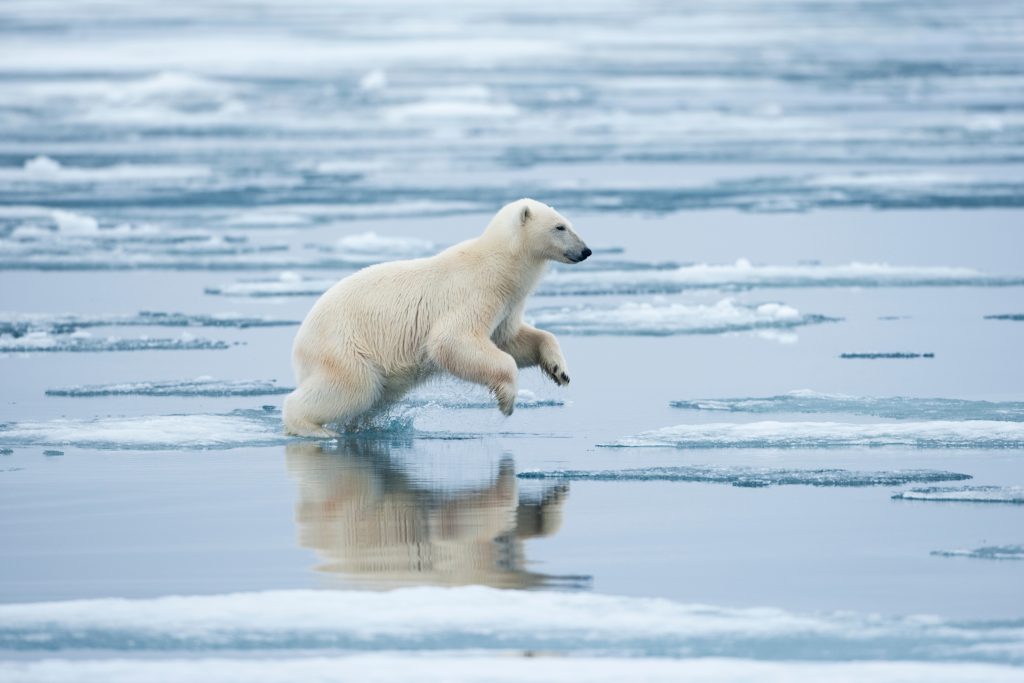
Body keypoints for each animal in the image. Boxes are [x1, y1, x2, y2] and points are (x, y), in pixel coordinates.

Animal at [284, 197, 589, 438]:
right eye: (560, 227)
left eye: (569, 223)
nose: (586, 251)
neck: (500, 265)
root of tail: (299, 343)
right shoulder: (474, 293)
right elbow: (451, 341)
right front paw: (506, 400)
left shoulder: (506, 305)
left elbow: (512, 339)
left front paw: (559, 371)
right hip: (344, 347)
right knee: (350, 388)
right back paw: (314, 428)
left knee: (375, 396)